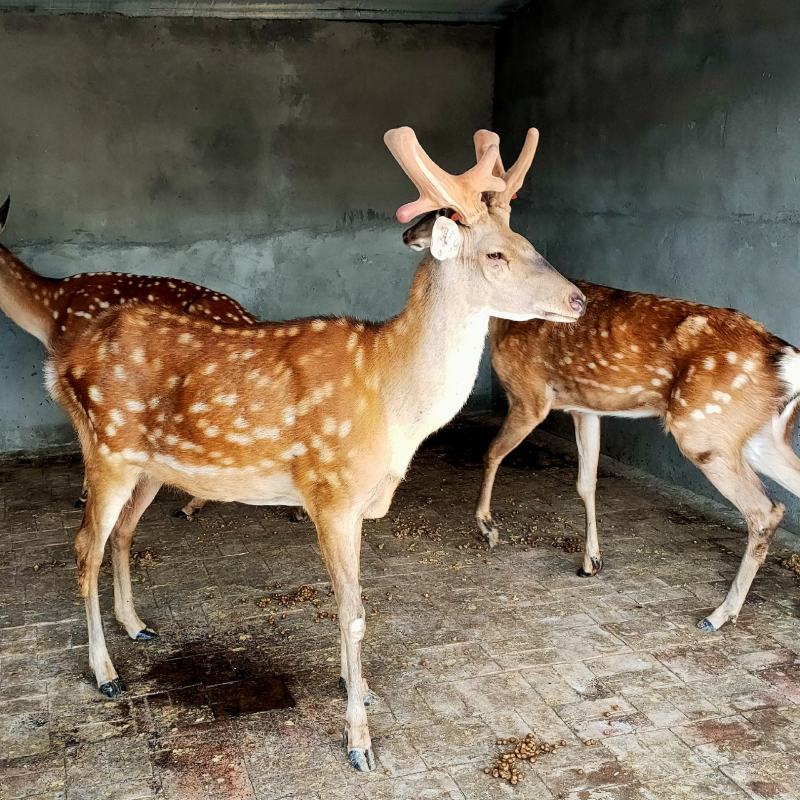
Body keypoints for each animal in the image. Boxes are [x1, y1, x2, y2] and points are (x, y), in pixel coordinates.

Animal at [41, 126, 585, 771]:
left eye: (527, 242)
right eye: (495, 255)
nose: (579, 300)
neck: (390, 400)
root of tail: (58, 363)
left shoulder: (358, 504)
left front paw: (362, 690)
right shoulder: (331, 494)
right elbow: (352, 612)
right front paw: (359, 742)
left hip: (148, 465)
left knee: (122, 534)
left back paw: (137, 626)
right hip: (105, 447)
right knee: (84, 547)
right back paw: (105, 673)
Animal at [401, 129, 800, 635]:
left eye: (446, 215)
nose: (407, 233)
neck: (500, 323)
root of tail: (785, 357)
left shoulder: (530, 395)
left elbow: (491, 453)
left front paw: (487, 527)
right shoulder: (585, 408)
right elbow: (586, 482)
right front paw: (591, 560)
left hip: (707, 429)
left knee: (765, 510)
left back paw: (719, 614)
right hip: (761, 435)